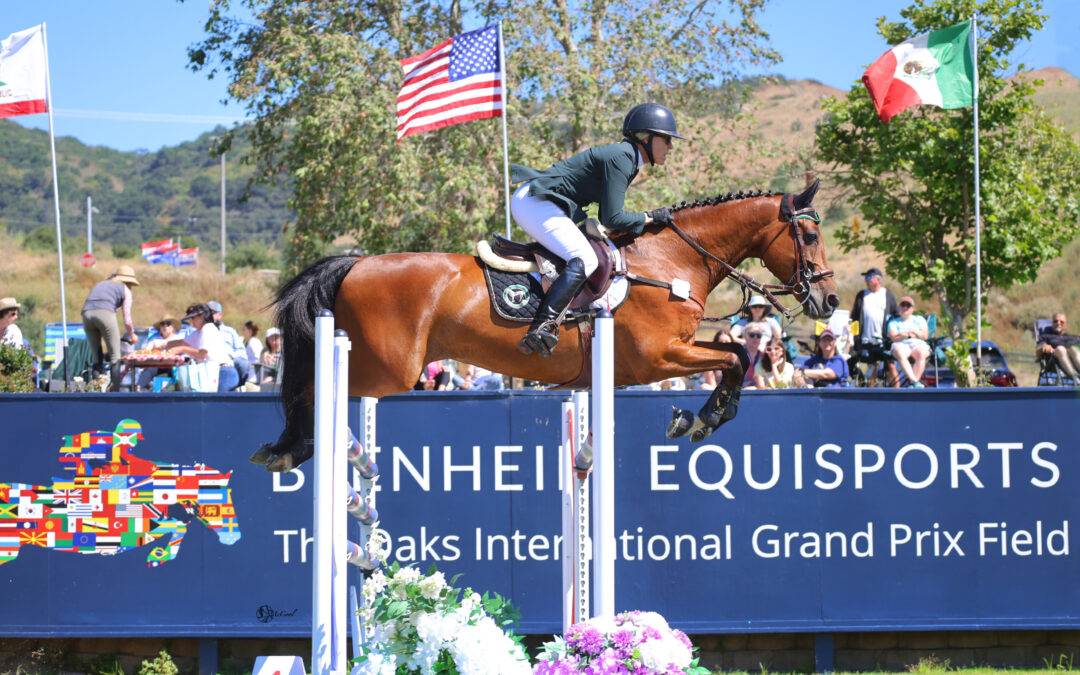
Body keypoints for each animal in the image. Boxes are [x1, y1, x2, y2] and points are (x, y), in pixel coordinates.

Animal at [250, 181, 833, 470]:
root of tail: (356, 263)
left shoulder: (679, 348)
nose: (828, 300)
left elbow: (736, 352)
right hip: (387, 370)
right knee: (311, 387)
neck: (670, 259)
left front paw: (704, 415)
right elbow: (736, 357)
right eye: (807, 238)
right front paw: (705, 418)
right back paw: (292, 447)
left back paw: (285, 447)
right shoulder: (658, 356)